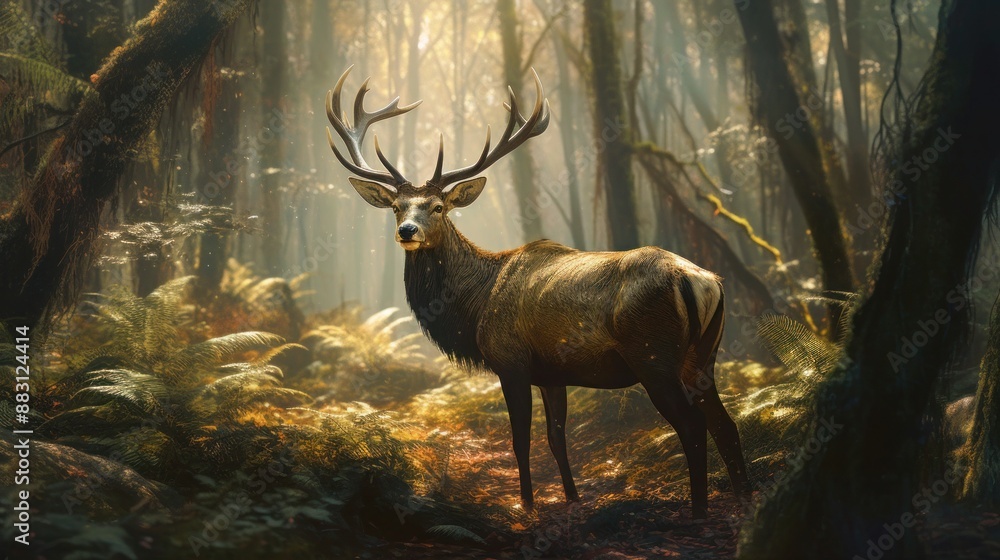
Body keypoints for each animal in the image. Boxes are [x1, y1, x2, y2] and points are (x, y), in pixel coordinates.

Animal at [325, 66, 750, 518]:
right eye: (396, 207)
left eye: (438, 207)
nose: (407, 231)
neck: (476, 305)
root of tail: (700, 280)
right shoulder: (551, 373)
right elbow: (557, 440)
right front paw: (572, 499)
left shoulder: (510, 361)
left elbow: (522, 440)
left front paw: (526, 506)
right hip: (703, 354)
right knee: (726, 423)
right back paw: (744, 497)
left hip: (654, 355)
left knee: (693, 425)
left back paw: (700, 509)